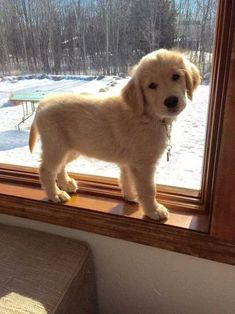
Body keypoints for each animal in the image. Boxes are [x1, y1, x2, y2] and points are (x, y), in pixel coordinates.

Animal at [28, 49, 200, 221]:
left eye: (176, 76)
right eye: (152, 86)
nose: (171, 101)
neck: (148, 115)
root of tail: (43, 103)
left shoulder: (130, 162)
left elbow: (126, 179)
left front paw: (131, 196)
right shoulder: (143, 164)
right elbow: (149, 189)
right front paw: (154, 210)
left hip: (71, 148)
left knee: (61, 166)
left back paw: (66, 184)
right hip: (56, 146)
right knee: (46, 170)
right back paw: (56, 194)